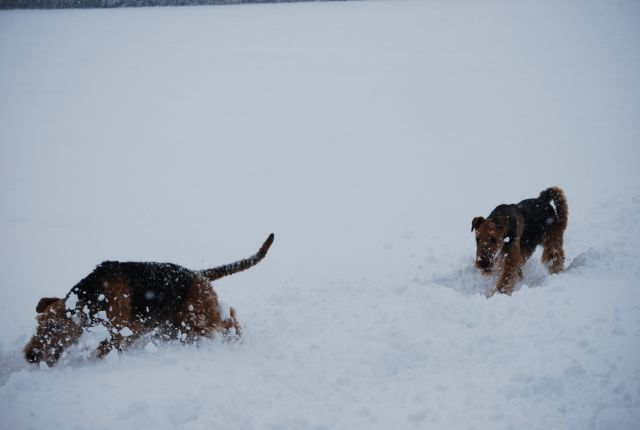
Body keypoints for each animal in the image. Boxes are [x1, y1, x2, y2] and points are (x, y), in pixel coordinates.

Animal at [23, 233, 274, 364]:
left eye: (54, 327)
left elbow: (105, 347)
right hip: (179, 323)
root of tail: (198, 274)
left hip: (198, 317)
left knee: (229, 318)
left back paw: (236, 339)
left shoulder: (124, 329)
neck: (93, 295)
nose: (30, 355)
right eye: (39, 324)